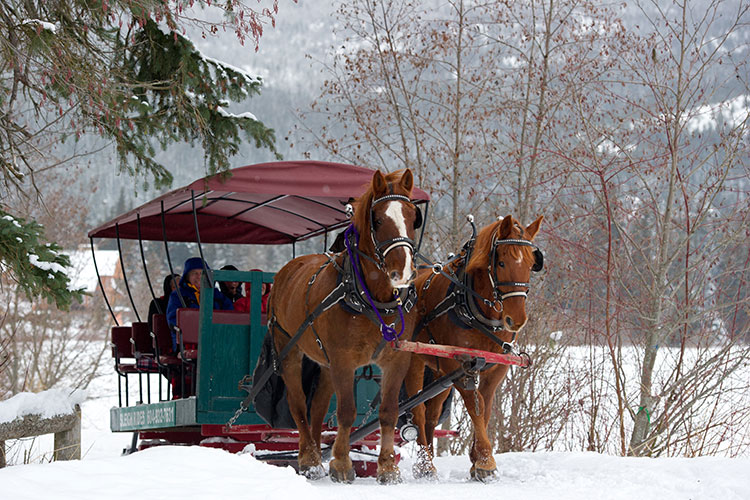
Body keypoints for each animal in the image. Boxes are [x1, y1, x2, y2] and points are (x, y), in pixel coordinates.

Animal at [270, 169, 424, 484]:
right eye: (378, 220)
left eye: (412, 217)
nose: (402, 272)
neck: (371, 298)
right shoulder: (343, 360)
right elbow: (346, 412)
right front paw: (341, 464)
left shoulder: (396, 360)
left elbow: (388, 412)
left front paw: (387, 468)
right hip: (288, 350)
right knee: (298, 404)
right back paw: (310, 459)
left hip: (325, 362)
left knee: (317, 408)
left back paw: (316, 453)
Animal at [408, 214, 544, 480]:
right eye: (501, 263)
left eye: (532, 263)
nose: (516, 320)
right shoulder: (460, 365)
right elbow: (475, 406)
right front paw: (485, 462)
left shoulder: (495, 368)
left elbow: (486, 407)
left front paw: (475, 460)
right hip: (415, 361)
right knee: (417, 408)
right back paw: (425, 465)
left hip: (439, 373)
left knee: (431, 415)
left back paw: (429, 458)